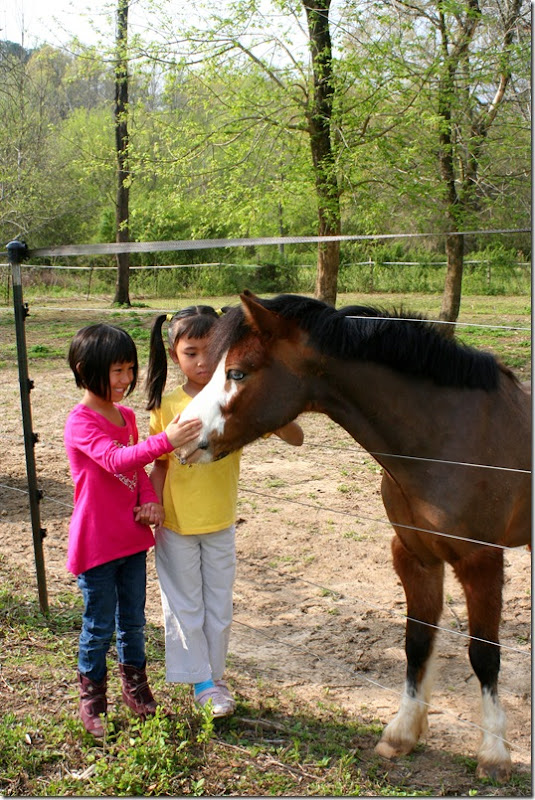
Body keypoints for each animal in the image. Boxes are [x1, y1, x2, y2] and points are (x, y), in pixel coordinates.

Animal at [178, 291, 531, 781]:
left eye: (238, 372)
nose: (180, 436)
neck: (450, 440)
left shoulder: (481, 561)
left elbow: (484, 653)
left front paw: (494, 753)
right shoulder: (415, 556)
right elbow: (417, 641)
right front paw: (402, 732)